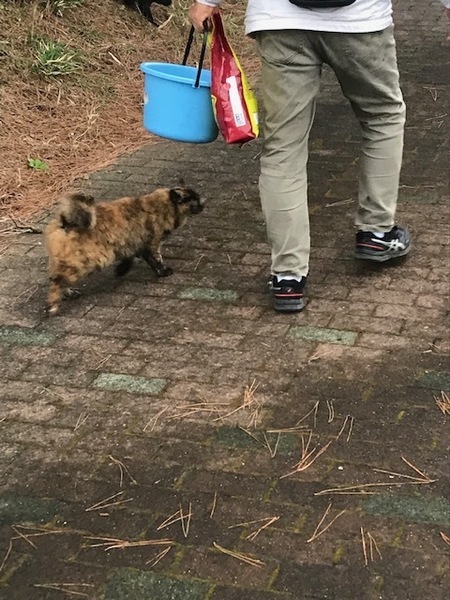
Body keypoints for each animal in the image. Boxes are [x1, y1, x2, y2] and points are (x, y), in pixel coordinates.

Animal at [45, 186, 204, 315]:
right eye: (194, 199)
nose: (203, 203)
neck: (160, 207)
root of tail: (65, 223)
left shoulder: (132, 244)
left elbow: (129, 259)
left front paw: (120, 271)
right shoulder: (151, 243)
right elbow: (156, 260)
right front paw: (164, 272)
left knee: (56, 279)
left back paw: (69, 294)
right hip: (80, 264)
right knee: (56, 282)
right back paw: (53, 307)